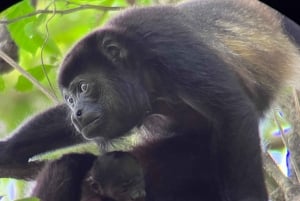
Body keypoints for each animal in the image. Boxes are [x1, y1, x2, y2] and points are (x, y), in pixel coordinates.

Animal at [0, 0, 300, 200]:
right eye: (70, 99)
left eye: (84, 87)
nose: (77, 113)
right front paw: (8, 150)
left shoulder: (166, 43)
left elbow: (232, 110)